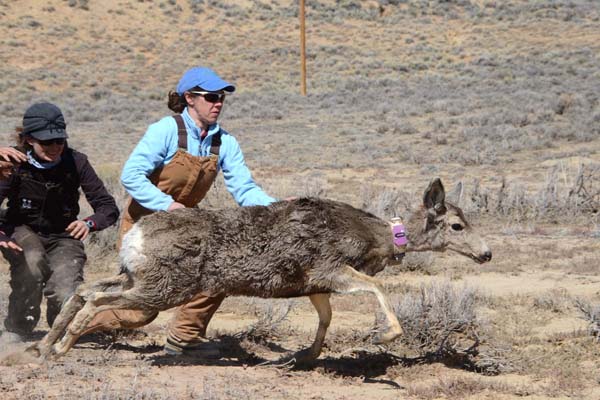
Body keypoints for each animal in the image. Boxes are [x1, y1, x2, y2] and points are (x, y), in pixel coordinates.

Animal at [32, 178, 490, 362]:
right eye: (457, 225)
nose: (486, 254)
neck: (377, 237)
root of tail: (136, 236)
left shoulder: (313, 283)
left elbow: (326, 318)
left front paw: (303, 357)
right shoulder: (330, 267)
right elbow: (377, 289)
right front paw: (388, 334)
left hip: (136, 276)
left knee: (84, 289)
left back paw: (43, 346)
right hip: (163, 287)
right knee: (95, 298)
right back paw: (60, 347)